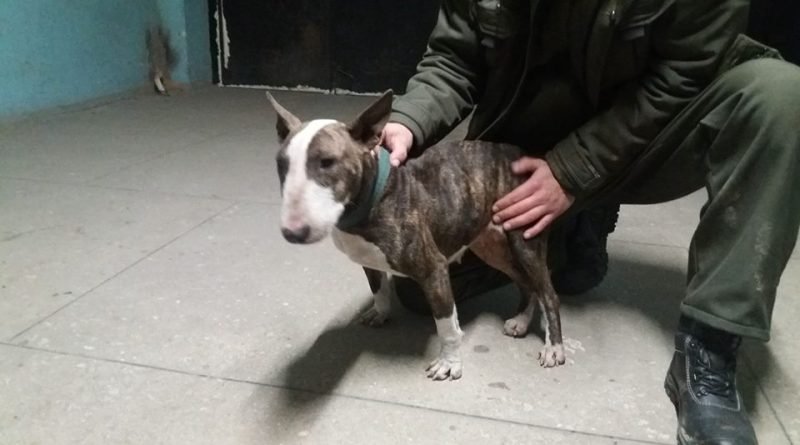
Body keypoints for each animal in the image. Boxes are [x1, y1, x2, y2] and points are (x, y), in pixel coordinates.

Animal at [268, 90, 566, 380]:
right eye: (281, 164)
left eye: (328, 162)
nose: (293, 232)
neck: (374, 198)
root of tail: (523, 155)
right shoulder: (370, 262)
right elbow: (379, 290)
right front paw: (380, 313)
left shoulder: (434, 269)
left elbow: (446, 325)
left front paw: (448, 363)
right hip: (490, 245)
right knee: (527, 283)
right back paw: (521, 321)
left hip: (524, 240)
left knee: (548, 292)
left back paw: (554, 346)